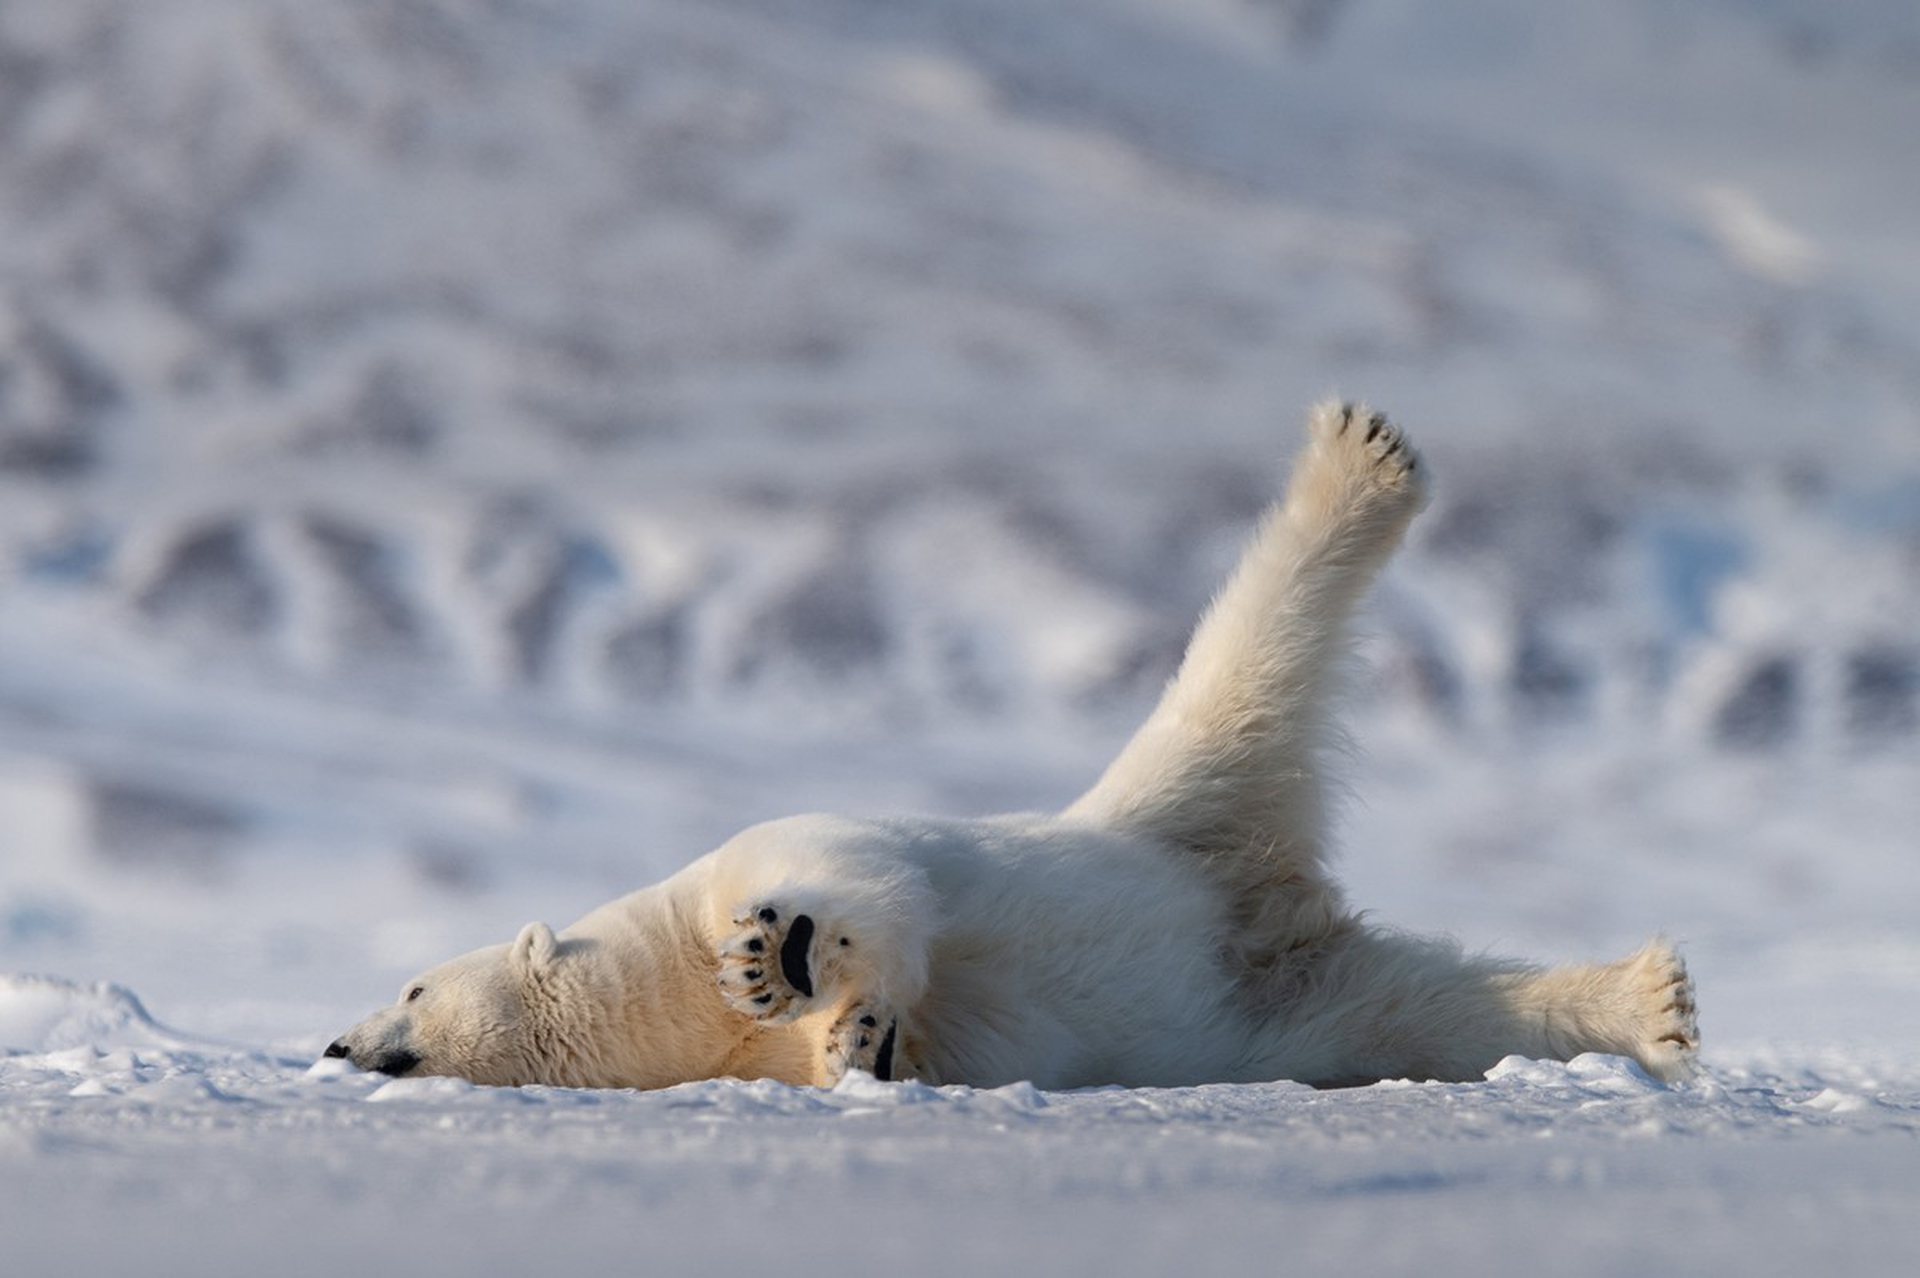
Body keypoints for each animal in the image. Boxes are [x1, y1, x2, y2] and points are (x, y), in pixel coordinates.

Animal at [326, 402, 1697, 1089]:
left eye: (412, 987)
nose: (339, 1045)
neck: (662, 996)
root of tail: (1255, 901)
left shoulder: (752, 855)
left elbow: (863, 885)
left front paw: (786, 957)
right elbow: (878, 1052)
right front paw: (856, 1043)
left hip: (1174, 790)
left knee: (1249, 652)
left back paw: (1357, 459)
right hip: (1274, 987)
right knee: (1422, 1011)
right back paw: (1651, 1004)